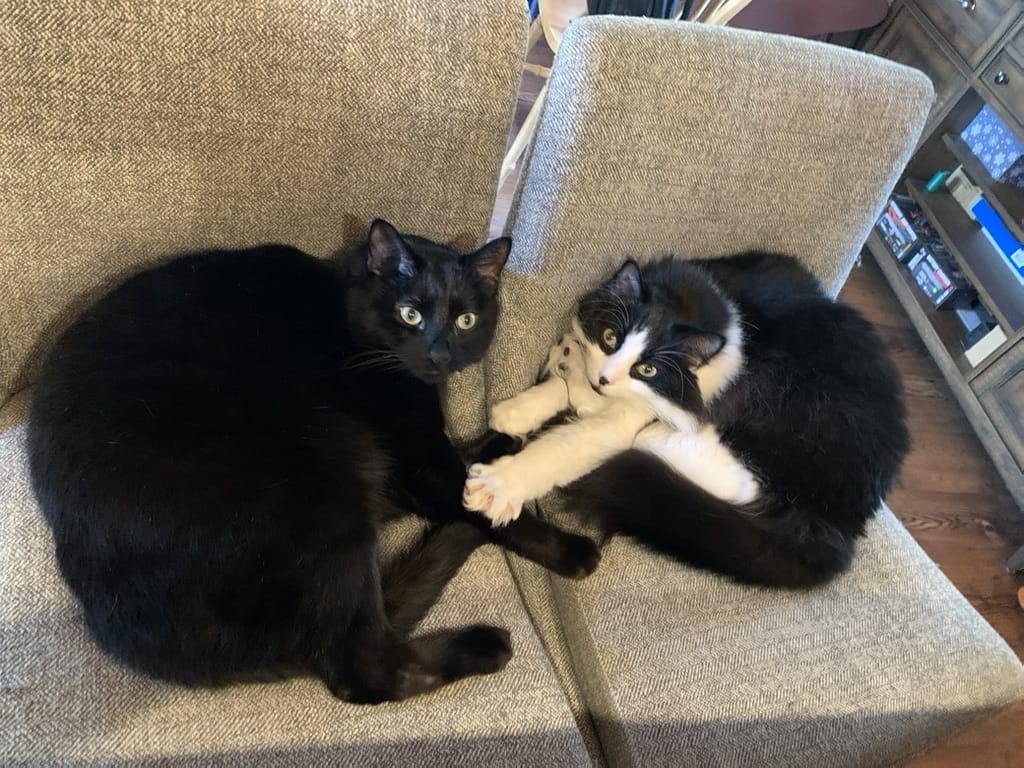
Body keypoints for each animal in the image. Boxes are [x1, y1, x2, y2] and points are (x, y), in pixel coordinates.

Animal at [27, 218, 597, 704]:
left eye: (465, 320)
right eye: (410, 314)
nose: (437, 355)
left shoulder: (409, 457)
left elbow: (468, 461)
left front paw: (504, 446)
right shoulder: (417, 461)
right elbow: (479, 502)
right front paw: (569, 550)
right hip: (325, 477)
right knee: (364, 670)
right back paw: (485, 644)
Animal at [463, 252, 909, 588]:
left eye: (646, 369)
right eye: (611, 338)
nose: (605, 378)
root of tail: (842, 523)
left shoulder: (645, 410)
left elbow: (566, 445)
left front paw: (498, 487)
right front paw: (520, 408)